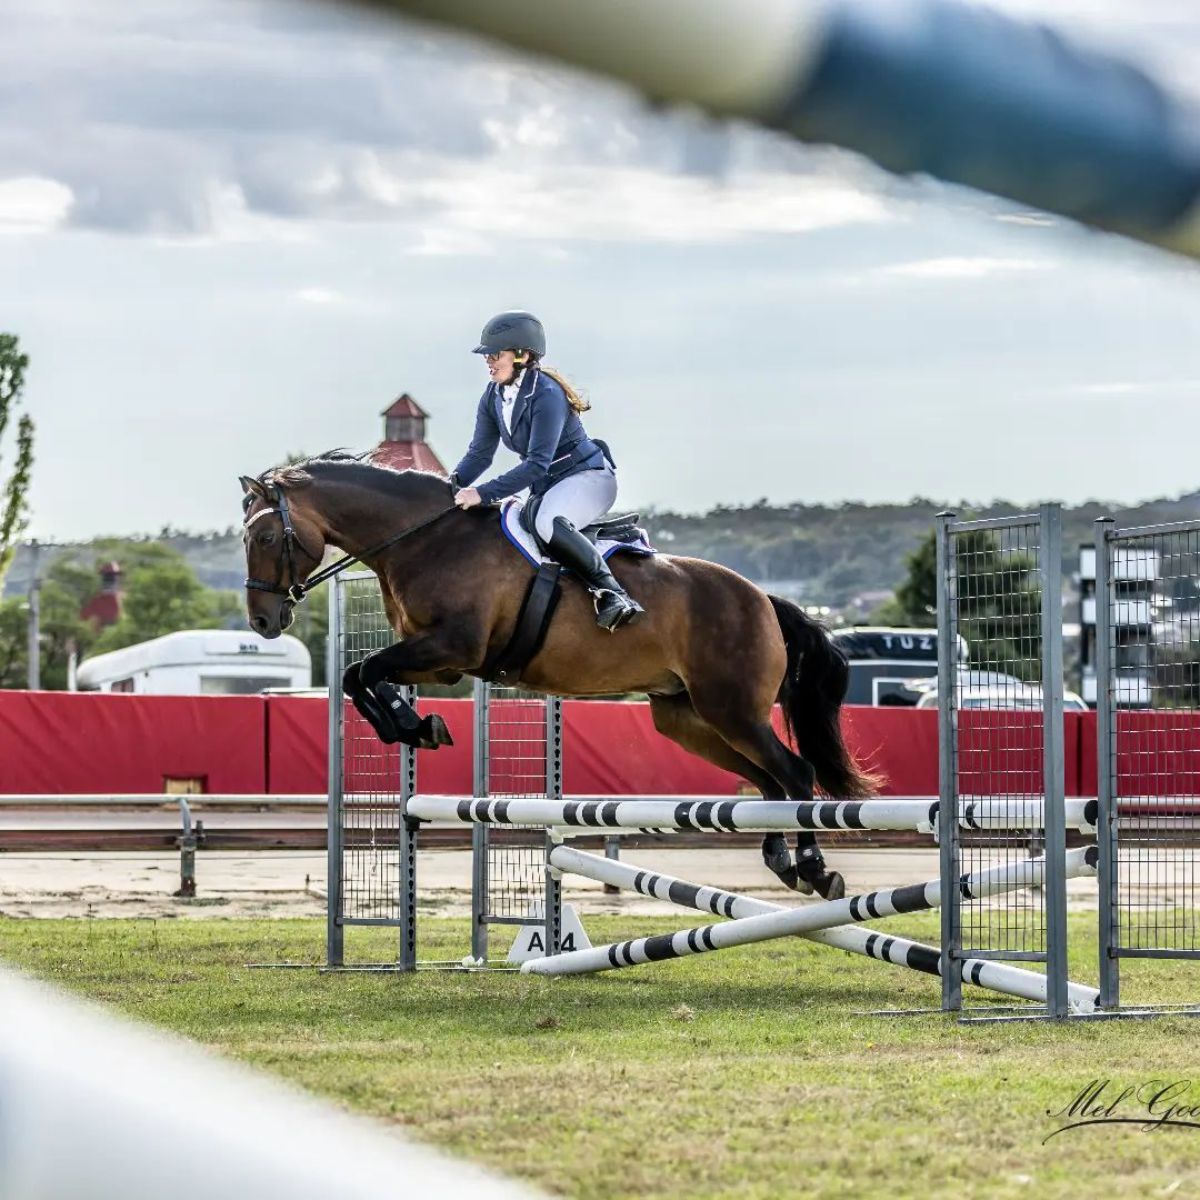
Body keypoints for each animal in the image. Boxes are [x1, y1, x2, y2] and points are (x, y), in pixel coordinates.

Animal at [243, 453, 878, 897]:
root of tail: (764, 600)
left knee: (793, 772)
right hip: (689, 719)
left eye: (267, 536)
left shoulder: (452, 647)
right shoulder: (442, 661)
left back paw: (815, 871)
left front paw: (413, 726)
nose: (264, 621)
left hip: (733, 708)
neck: (425, 539)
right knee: (769, 783)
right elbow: (359, 674)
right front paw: (415, 725)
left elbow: (364, 669)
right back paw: (782, 861)